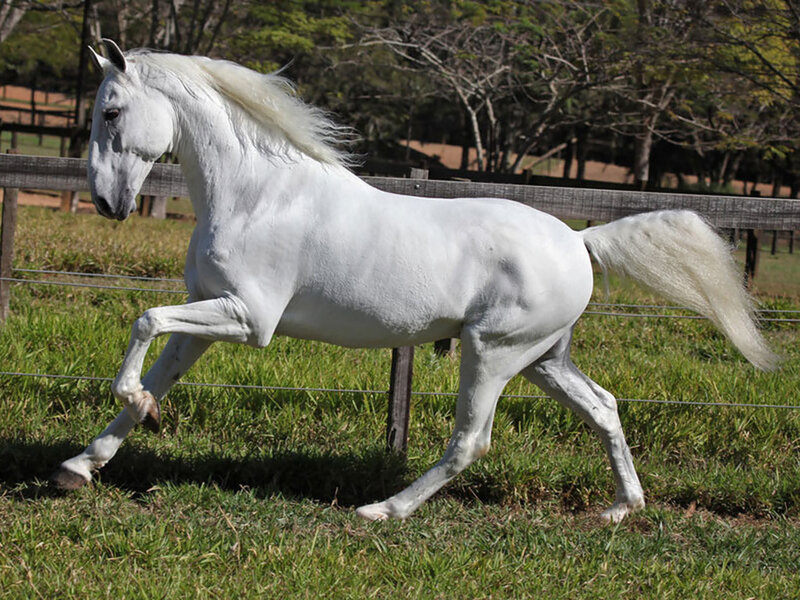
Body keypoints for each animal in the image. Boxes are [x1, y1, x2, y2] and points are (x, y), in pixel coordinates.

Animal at [51, 39, 777, 523]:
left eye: (111, 111)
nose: (108, 203)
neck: (259, 193)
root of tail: (578, 240)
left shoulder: (248, 318)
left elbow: (143, 321)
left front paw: (128, 417)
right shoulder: (207, 314)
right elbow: (155, 367)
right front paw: (80, 467)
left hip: (494, 352)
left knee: (471, 440)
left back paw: (382, 511)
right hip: (544, 359)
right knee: (603, 407)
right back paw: (622, 509)